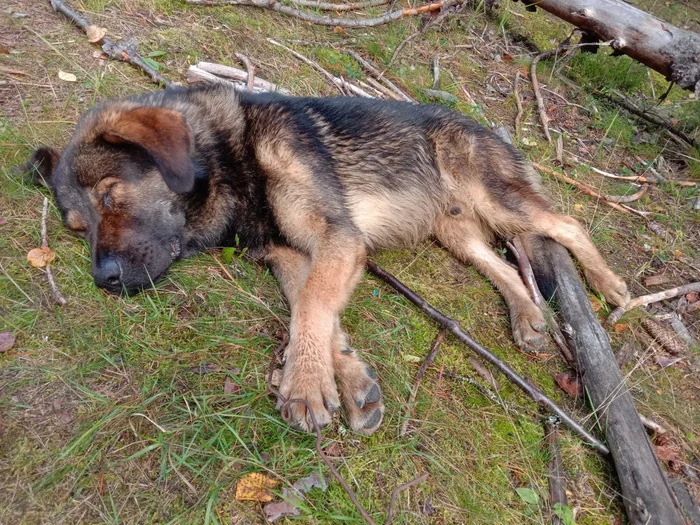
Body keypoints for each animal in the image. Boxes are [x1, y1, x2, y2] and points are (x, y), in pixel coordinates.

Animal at [24, 83, 632, 434]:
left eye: (111, 196)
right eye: (78, 229)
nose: (103, 279)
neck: (232, 157)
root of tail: (492, 130)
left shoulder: (336, 237)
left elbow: (315, 302)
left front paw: (305, 383)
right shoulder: (290, 254)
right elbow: (308, 309)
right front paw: (344, 374)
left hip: (495, 198)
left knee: (567, 224)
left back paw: (612, 287)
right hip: (456, 231)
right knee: (500, 263)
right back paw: (527, 315)